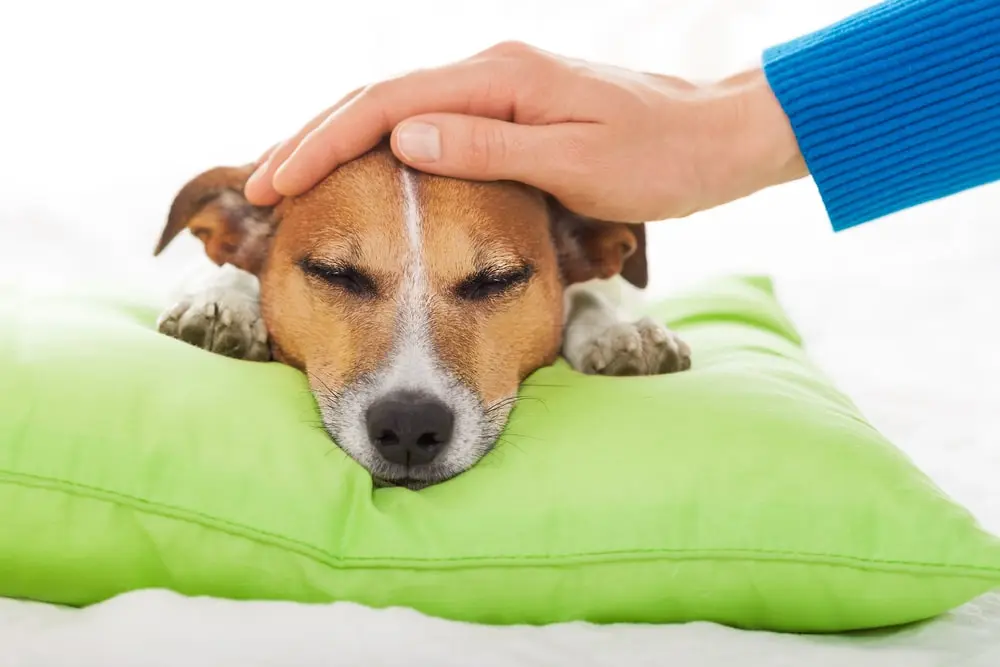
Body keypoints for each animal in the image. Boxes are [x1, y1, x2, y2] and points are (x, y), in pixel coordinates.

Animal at [154, 144, 688, 488]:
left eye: (497, 280)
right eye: (335, 274)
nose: (409, 426)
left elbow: (591, 294)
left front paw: (618, 331)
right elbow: (230, 273)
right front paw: (221, 303)